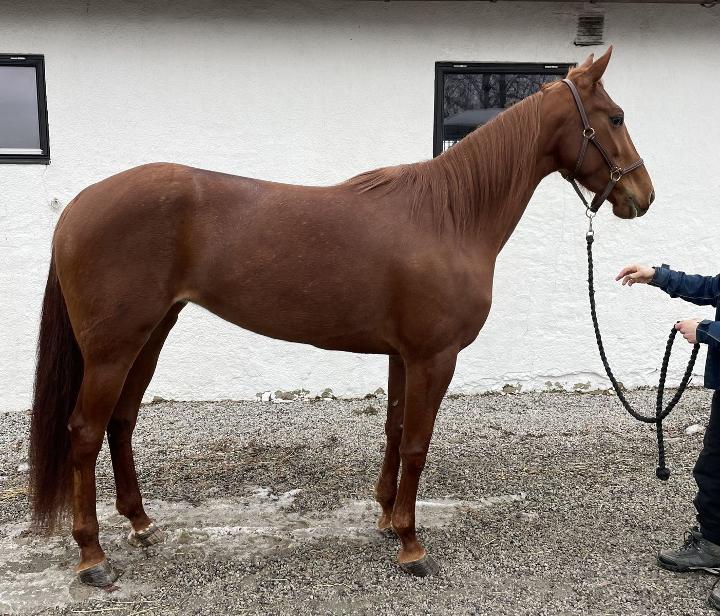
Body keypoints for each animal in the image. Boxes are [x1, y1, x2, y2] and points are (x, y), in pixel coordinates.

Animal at [29, 46, 654, 586]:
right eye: (616, 116)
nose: (643, 196)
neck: (449, 217)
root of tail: (79, 204)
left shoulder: (404, 356)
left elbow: (395, 430)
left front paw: (386, 520)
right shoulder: (435, 358)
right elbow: (417, 444)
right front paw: (411, 546)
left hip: (151, 333)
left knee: (121, 422)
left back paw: (141, 524)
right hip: (112, 348)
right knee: (85, 432)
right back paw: (93, 557)